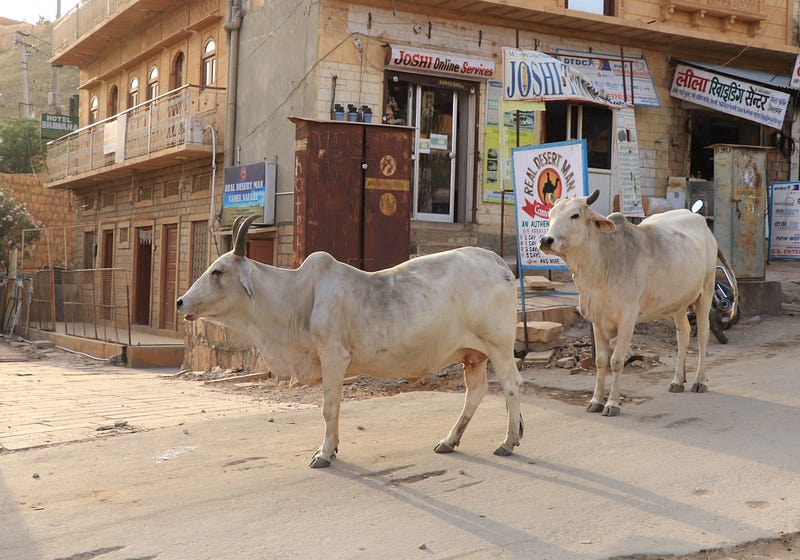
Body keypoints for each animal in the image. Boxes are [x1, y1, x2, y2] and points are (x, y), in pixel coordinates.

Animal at [177, 215, 524, 468]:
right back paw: (451, 440)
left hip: (499, 346)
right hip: (473, 355)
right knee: (475, 393)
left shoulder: (333, 357)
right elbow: (337, 407)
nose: (181, 302)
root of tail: (496, 261)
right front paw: (332, 448)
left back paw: (508, 442)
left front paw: (324, 453)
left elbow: (329, 408)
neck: (296, 298)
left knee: (510, 386)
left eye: (218, 271)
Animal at [538, 190, 737, 416]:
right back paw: (678, 380)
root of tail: (701, 222)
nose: (546, 240)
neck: (601, 264)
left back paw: (699, 381)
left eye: (575, 215)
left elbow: (616, 361)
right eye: (550, 215)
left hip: (705, 292)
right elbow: (600, 361)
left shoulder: (627, 319)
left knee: (703, 335)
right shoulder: (597, 320)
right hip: (679, 303)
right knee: (683, 335)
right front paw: (596, 401)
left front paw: (612, 404)